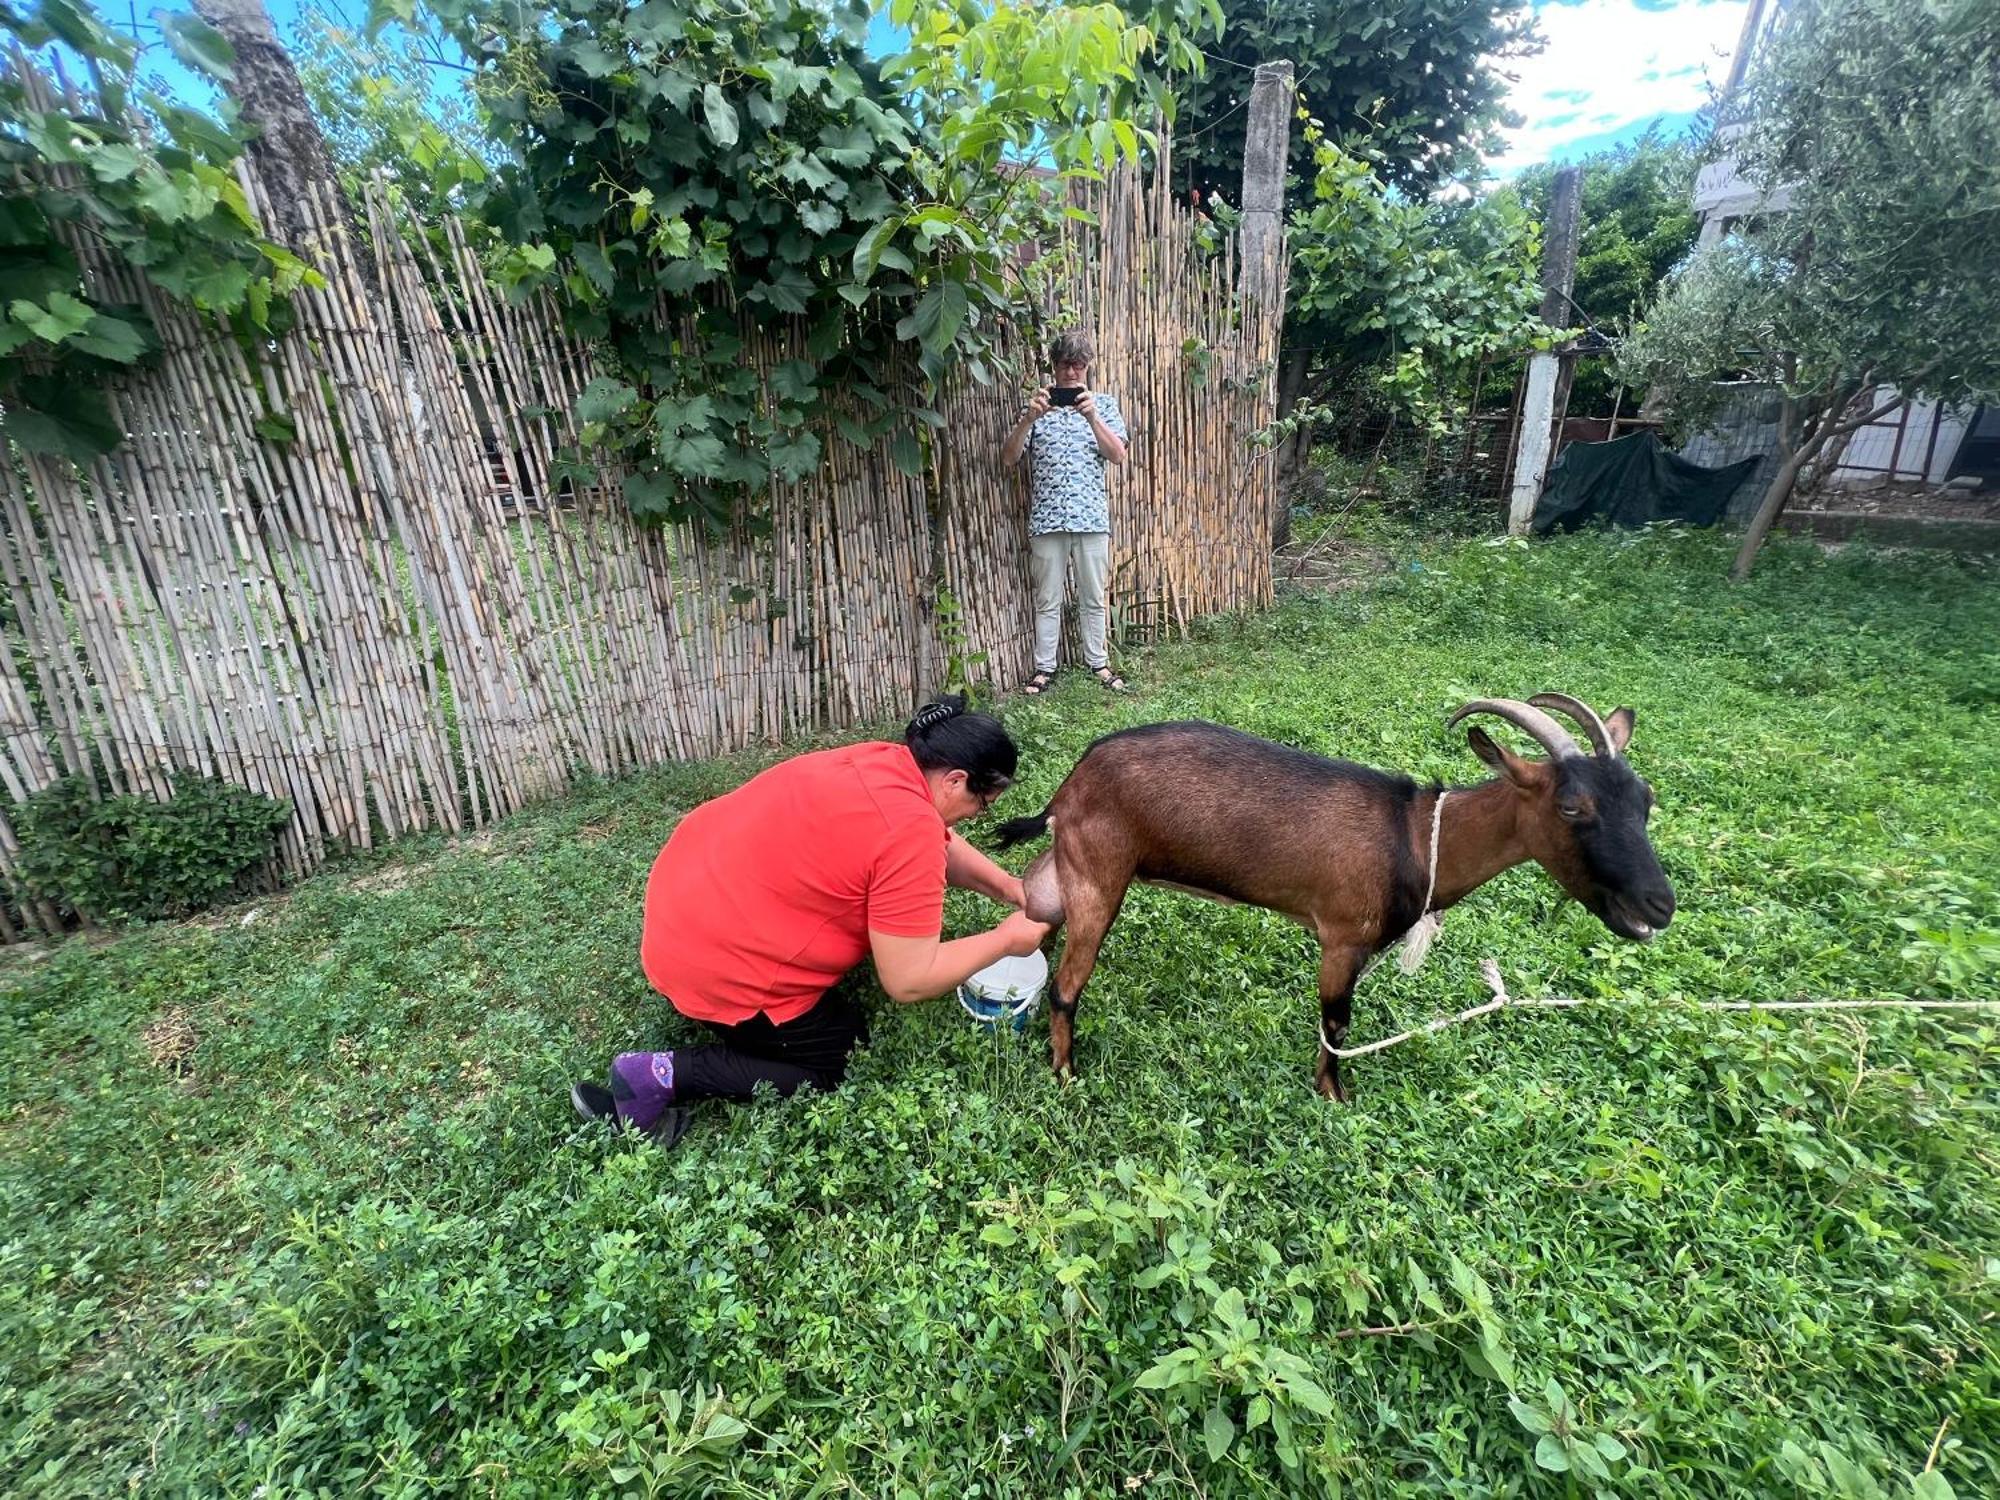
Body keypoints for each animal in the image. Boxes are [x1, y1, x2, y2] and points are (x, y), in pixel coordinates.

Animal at [996, 696, 1672, 1104]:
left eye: (1646, 798)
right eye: (1571, 807)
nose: (1660, 904)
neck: (1416, 837)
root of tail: (1074, 780)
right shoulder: (1342, 936)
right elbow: (1336, 1021)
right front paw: (1333, 1096)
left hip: (1068, 863)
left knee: (1036, 909)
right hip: (1102, 872)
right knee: (1067, 984)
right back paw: (1065, 1074)